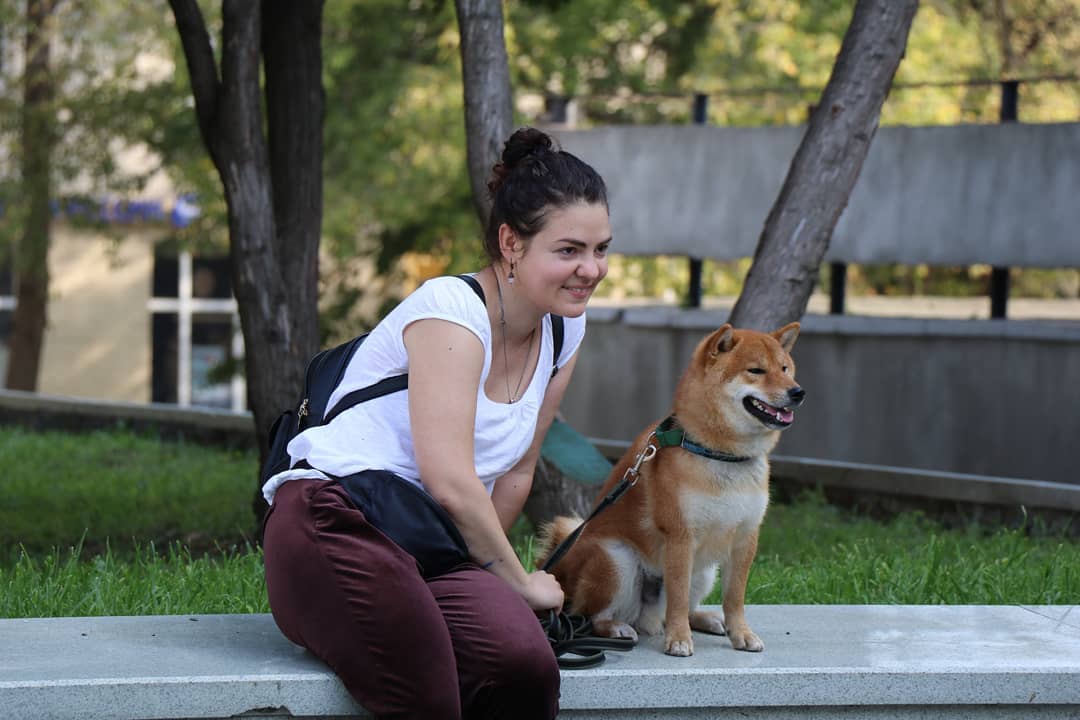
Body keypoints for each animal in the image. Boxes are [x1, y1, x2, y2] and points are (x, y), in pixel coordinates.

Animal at [540, 323, 803, 656]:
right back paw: (616, 628)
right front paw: (678, 639)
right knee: (590, 615)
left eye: (785, 369)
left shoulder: (745, 537)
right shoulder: (680, 536)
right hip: (616, 560)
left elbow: (734, 597)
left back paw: (704, 619)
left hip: (704, 572)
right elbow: (677, 597)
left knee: (678, 609)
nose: (798, 392)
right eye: (756, 370)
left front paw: (741, 633)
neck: (721, 455)